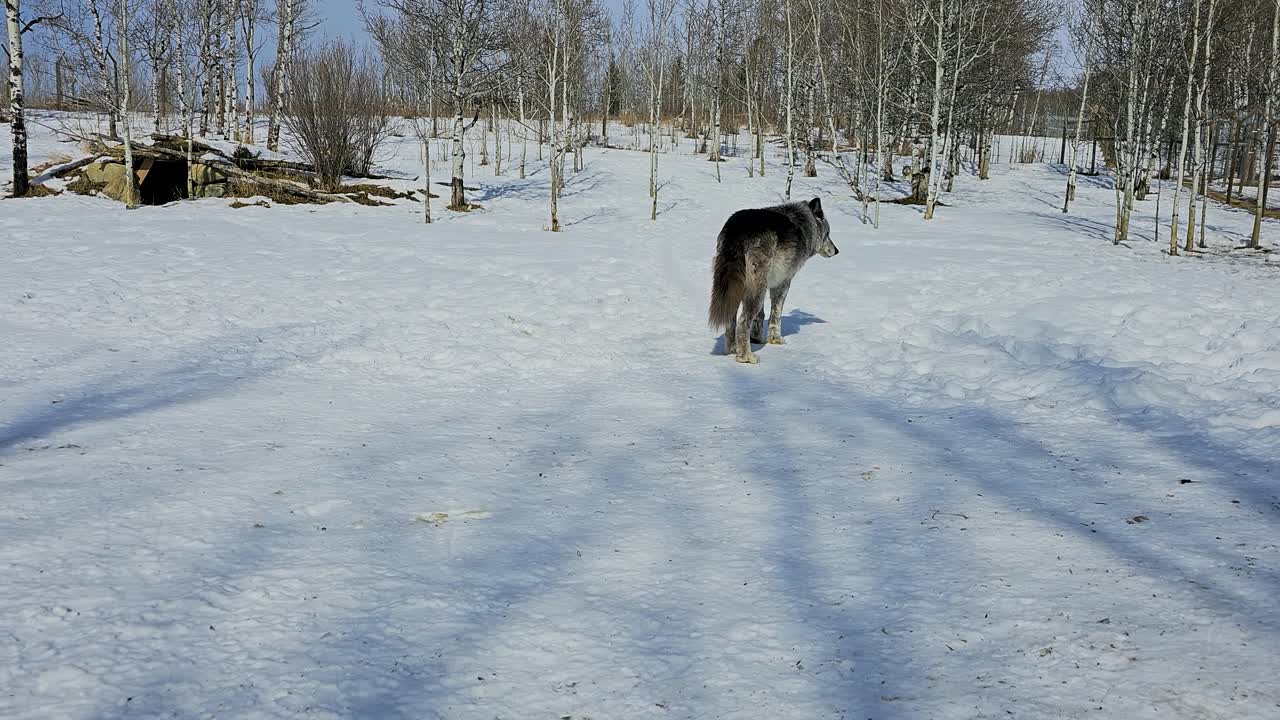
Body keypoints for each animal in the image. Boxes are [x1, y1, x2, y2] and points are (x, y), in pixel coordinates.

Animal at [708, 197, 838, 364]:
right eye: (828, 234)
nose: (836, 250)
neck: (804, 225)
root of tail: (737, 229)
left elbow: (760, 316)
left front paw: (757, 339)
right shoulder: (783, 283)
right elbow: (775, 315)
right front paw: (776, 340)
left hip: (739, 289)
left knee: (732, 320)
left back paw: (733, 349)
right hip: (756, 290)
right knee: (743, 321)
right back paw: (746, 357)